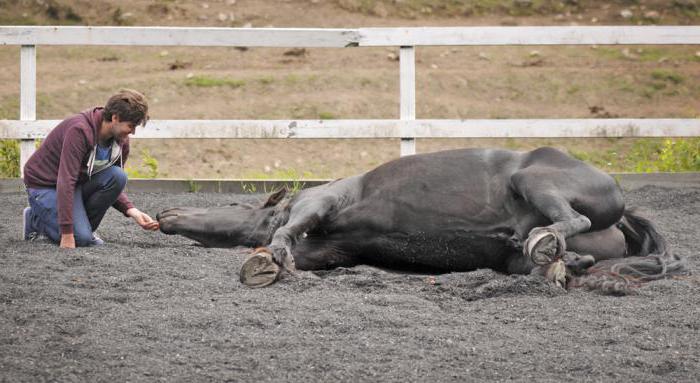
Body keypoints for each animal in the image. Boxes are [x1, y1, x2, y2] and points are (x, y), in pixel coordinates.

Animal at [156, 148, 688, 292]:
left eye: (232, 206)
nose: (164, 212)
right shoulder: (329, 248)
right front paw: (269, 262)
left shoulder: (321, 202)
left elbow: (285, 231)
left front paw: (270, 254)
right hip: (516, 258)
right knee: (560, 258)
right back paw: (562, 263)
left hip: (535, 180)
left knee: (566, 221)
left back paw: (547, 242)